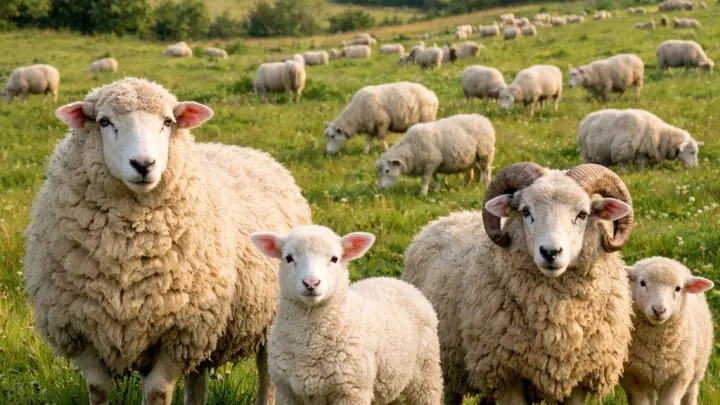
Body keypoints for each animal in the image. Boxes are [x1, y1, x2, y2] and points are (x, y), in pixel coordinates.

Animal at [24, 78, 312, 405]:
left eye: (167, 121)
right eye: (104, 121)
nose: (143, 164)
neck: (127, 241)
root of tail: (257, 154)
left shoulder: (180, 331)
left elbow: (157, 392)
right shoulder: (78, 330)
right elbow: (98, 390)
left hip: (270, 316)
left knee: (267, 373)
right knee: (198, 377)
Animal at [250, 225, 442, 405]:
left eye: (334, 259)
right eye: (289, 258)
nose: (311, 283)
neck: (309, 346)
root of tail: (395, 281)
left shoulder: (351, 392)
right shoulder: (286, 392)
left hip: (426, 376)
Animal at [403, 162, 635, 405]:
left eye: (583, 214)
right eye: (526, 212)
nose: (550, 252)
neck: (557, 319)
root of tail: (447, 217)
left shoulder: (580, 378)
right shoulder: (506, 375)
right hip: (447, 364)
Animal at [622, 257, 714, 405]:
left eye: (678, 288)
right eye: (642, 283)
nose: (659, 310)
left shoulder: (678, 377)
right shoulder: (632, 377)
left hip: (697, 369)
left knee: (691, 394)